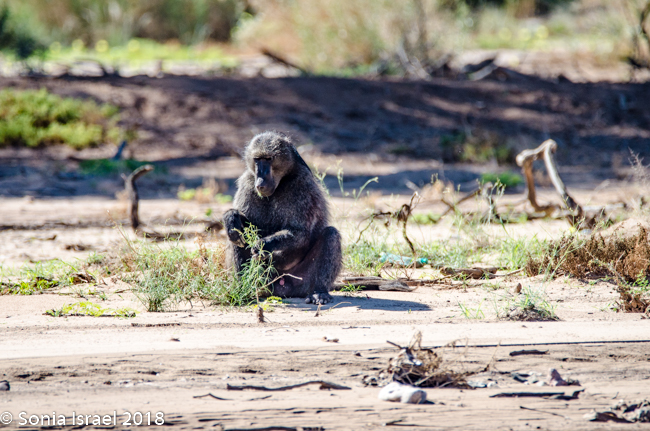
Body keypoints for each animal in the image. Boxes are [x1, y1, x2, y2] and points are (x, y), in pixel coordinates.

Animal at [222, 131, 342, 304]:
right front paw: (231, 217)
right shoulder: (248, 181)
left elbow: (300, 232)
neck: (282, 181)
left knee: (331, 234)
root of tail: (281, 287)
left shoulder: (302, 184)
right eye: (257, 160)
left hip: (301, 281)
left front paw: (262, 245)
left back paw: (319, 292)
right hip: (264, 279)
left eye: (269, 159)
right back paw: (243, 288)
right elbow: (245, 224)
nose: (261, 181)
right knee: (237, 236)